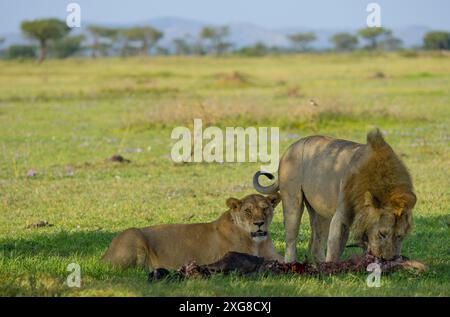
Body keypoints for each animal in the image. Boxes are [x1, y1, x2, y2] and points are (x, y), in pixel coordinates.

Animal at [103, 193, 284, 270]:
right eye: (247, 211)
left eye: (265, 208)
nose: (259, 224)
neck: (257, 243)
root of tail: (104, 255)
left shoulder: (274, 255)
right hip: (133, 233)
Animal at [255, 128, 416, 262]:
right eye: (382, 234)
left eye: (400, 236)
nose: (388, 259)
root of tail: (291, 146)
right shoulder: (341, 215)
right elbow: (335, 247)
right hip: (292, 201)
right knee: (291, 238)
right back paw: (291, 264)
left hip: (321, 211)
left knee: (316, 244)